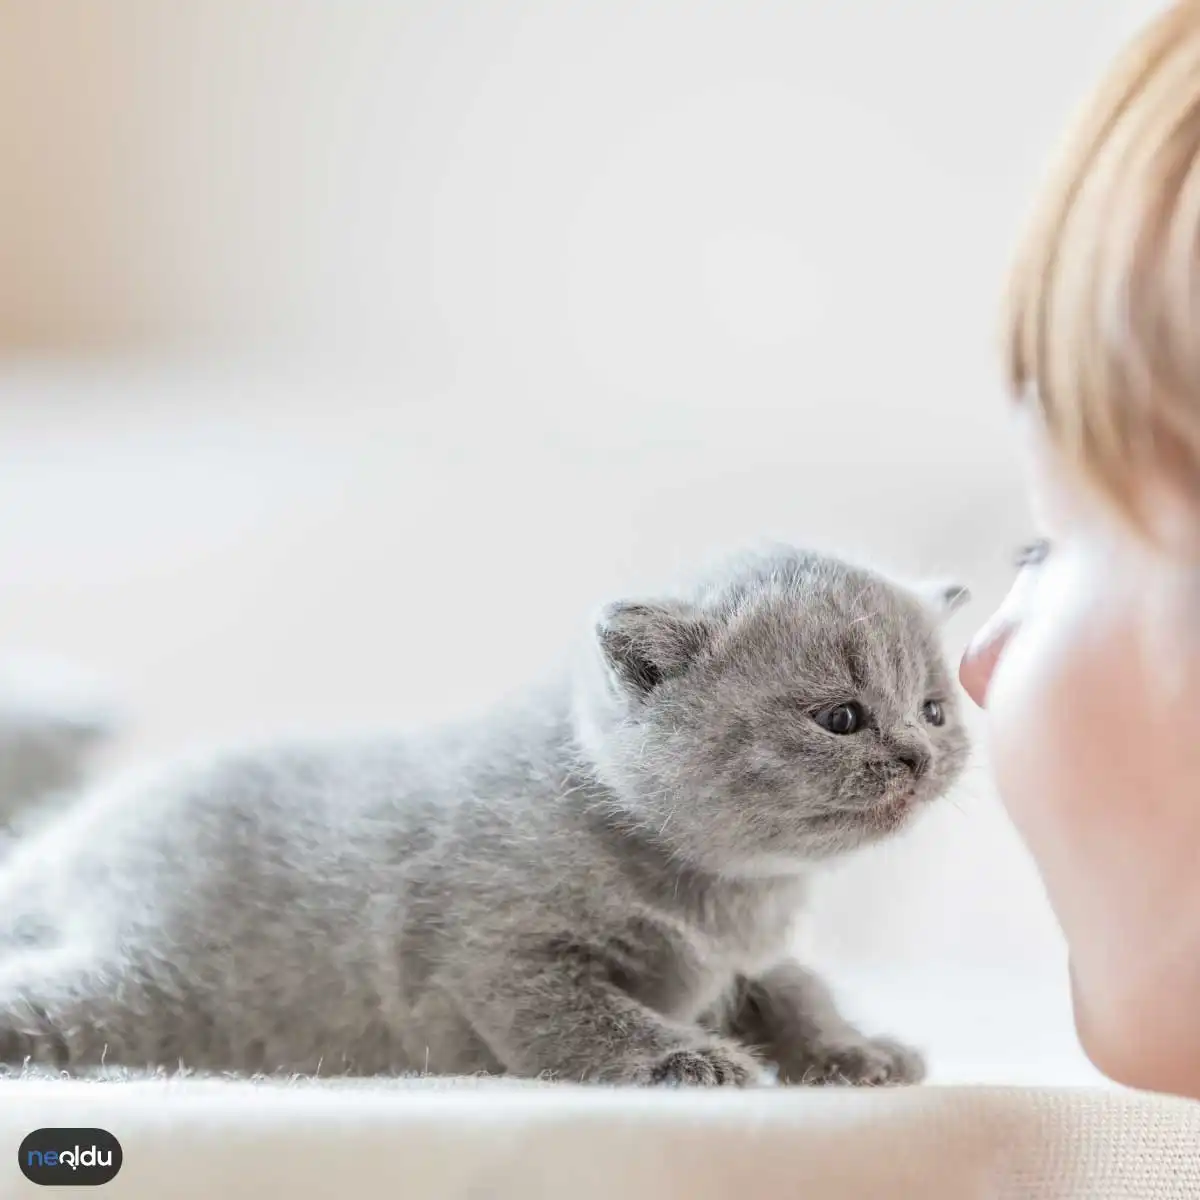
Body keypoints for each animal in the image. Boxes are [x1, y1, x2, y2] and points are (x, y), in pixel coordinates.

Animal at [0, 549, 964, 1084]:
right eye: (841, 717)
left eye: (933, 709)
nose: (919, 755)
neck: (731, 896)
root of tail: (63, 840)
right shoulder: (499, 952)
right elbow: (587, 1014)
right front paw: (687, 1058)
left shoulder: (749, 957)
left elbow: (799, 986)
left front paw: (855, 1050)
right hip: (144, 985)